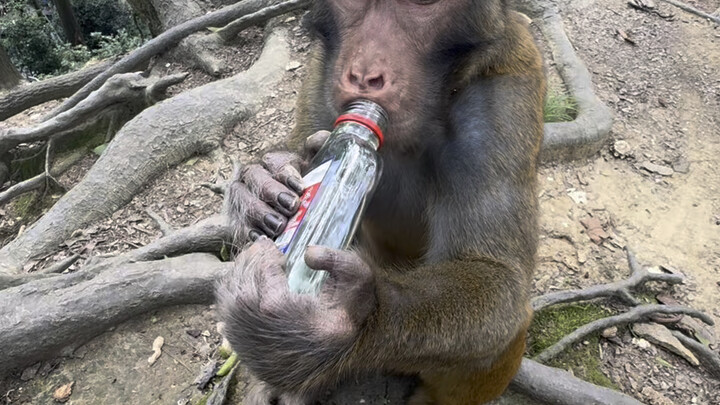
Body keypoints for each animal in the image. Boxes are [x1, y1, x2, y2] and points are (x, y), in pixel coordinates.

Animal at [216, 0, 546, 404]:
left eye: (422, 5)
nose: (364, 75)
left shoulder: (501, 100)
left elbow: (497, 277)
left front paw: (347, 318)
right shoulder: (320, 69)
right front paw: (263, 184)